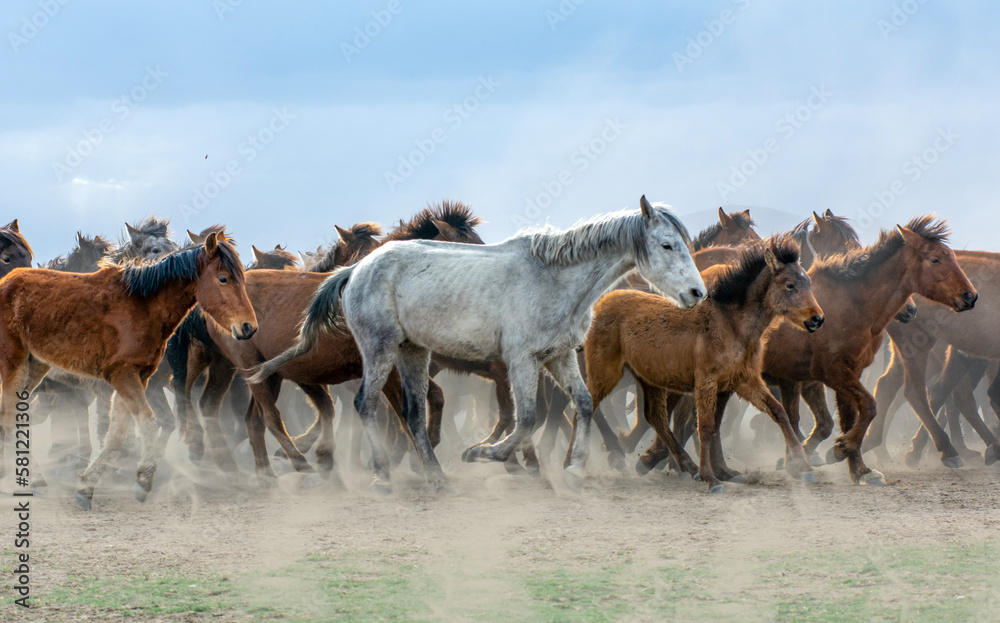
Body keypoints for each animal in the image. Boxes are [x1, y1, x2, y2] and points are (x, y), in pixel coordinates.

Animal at [0, 233, 256, 510]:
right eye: (223, 279)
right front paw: (144, 480)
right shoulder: (121, 375)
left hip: (36, 366)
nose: (248, 327)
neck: (141, 306)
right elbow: (146, 421)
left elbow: (117, 433)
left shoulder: (138, 377)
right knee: (9, 417)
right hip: (13, 364)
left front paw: (87, 486)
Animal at [255, 196, 706, 493]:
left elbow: (581, 404)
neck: (553, 279)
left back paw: (435, 474)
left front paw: (575, 467)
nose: (698, 293)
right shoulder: (521, 360)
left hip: (413, 352)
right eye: (666, 244)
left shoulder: (558, 356)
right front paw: (487, 454)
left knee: (413, 413)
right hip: (379, 349)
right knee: (365, 404)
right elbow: (526, 417)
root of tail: (356, 269)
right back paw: (381, 474)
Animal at [583, 236, 824, 492]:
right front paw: (711, 477)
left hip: (648, 379)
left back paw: (682, 464)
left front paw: (802, 467)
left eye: (808, 281)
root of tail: (601, 303)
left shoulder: (741, 383)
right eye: (790, 285)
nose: (817, 319)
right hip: (605, 373)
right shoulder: (707, 384)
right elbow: (706, 427)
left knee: (655, 417)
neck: (731, 326)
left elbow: (776, 414)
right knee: (587, 406)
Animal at [760, 216, 976, 486]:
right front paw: (840, 449)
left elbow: (848, 418)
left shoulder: (846, 374)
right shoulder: (831, 372)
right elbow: (869, 406)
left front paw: (858, 469)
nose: (970, 296)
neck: (853, 305)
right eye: (934, 259)